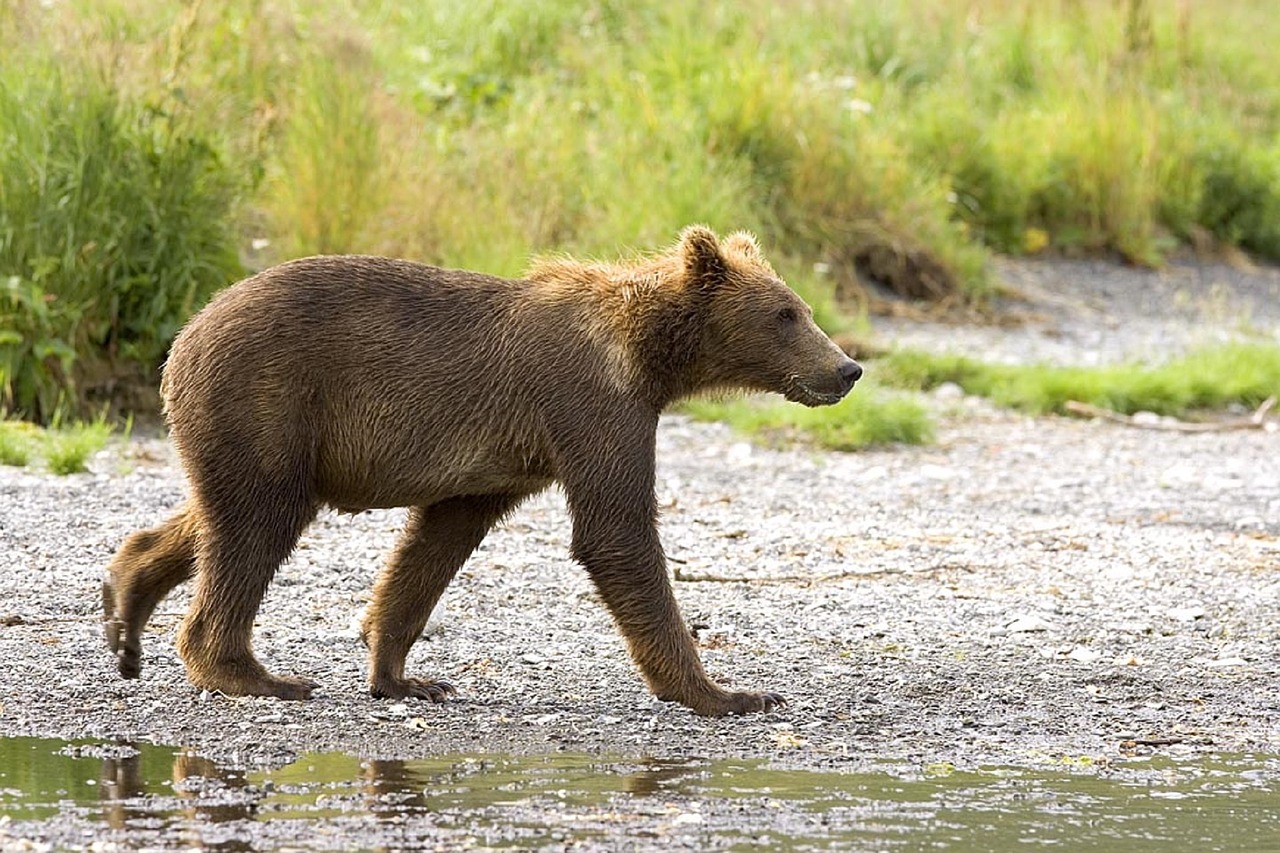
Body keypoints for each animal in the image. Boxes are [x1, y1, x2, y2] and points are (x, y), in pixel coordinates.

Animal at [99, 224, 860, 712]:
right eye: (786, 313)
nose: (847, 367)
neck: (649, 357)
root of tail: (186, 334)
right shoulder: (590, 403)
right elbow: (616, 534)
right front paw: (728, 691)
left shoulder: (501, 461)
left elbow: (435, 542)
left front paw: (403, 674)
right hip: (270, 398)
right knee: (254, 525)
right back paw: (253, 673)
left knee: (216, 513)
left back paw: (126, 607)